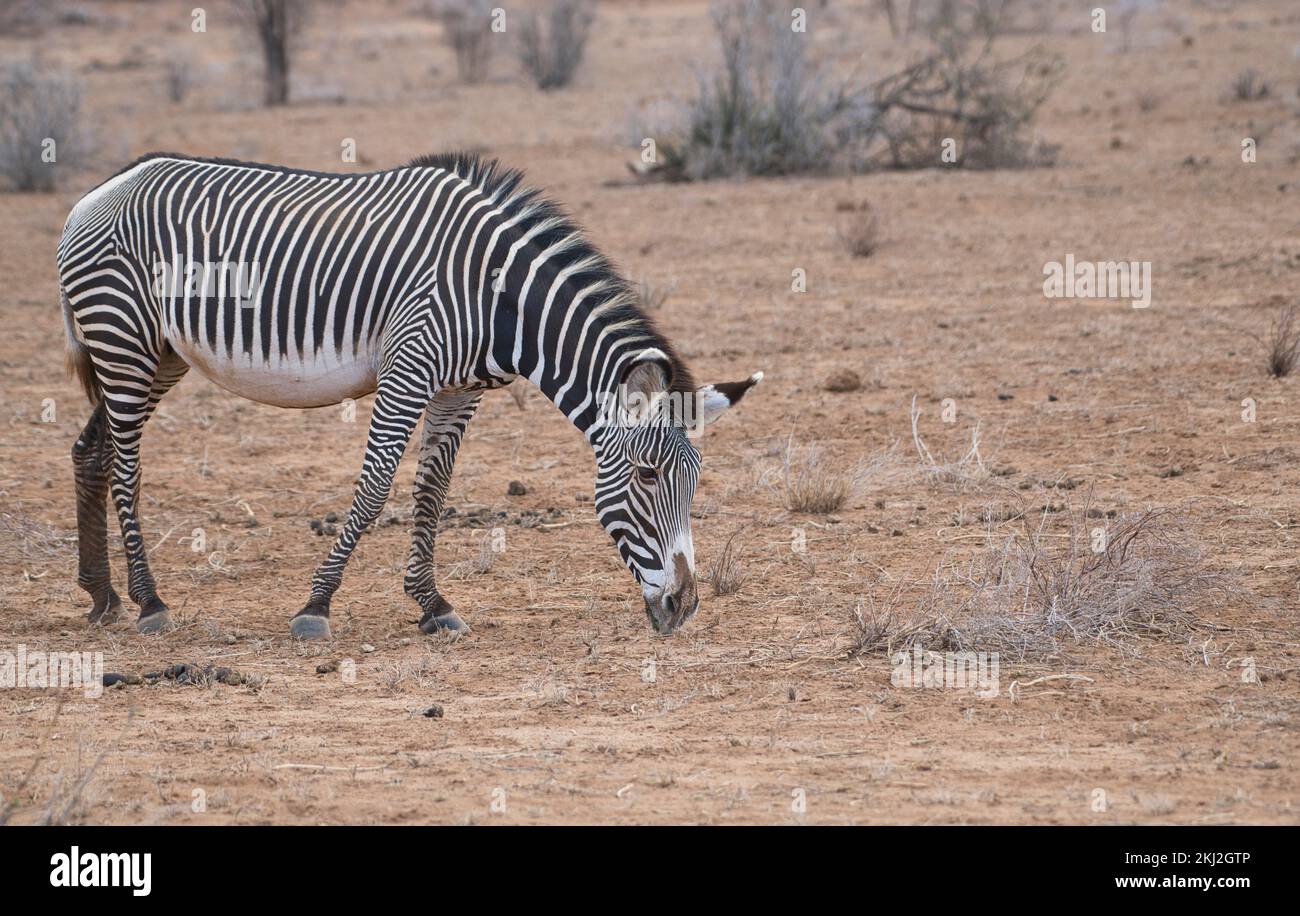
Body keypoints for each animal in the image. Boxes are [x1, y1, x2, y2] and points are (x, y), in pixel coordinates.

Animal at [55, 152, 759, 636]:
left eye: (696, 480)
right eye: (647, 475)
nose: (683, 606)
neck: (498, 296)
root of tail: (99, 189)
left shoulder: (459, 389)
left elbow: (432, 492)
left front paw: (432, 604)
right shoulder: (407, 369)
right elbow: (373, 490)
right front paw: (317, 606)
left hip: (160, 354)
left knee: (92, 450)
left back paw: (102, 597)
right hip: (123, 339)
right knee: (126, 465)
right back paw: (149, 602)